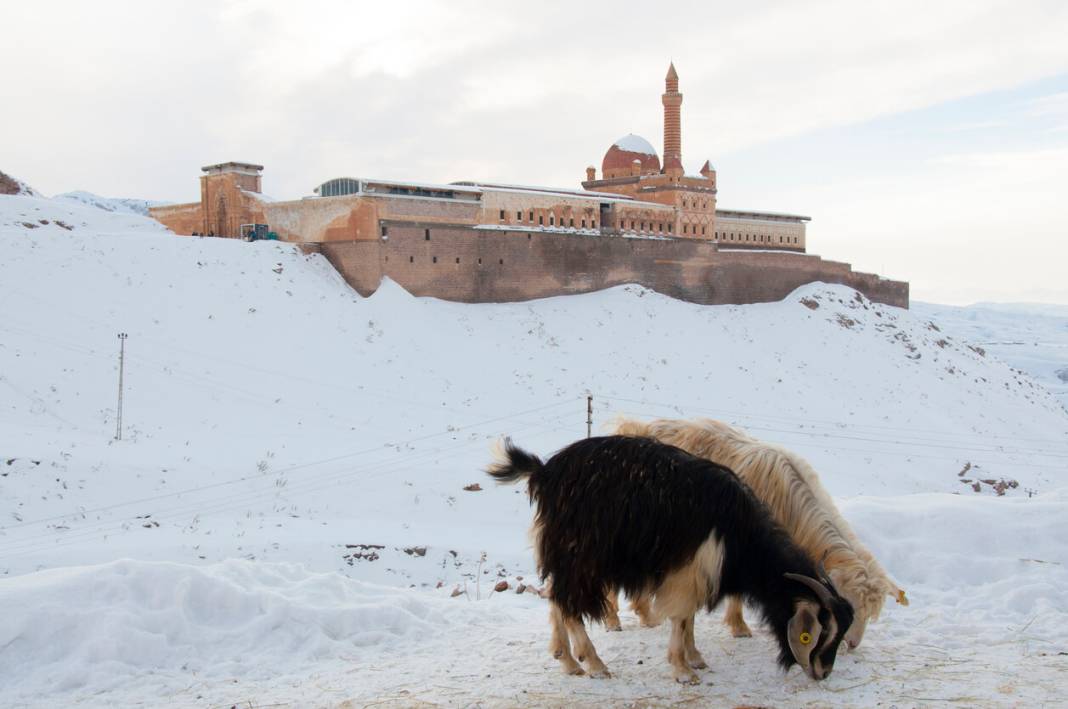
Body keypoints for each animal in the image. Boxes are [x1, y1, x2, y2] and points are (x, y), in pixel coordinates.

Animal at [489, 435, 854, 683]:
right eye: (818, 632)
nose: (823, 672)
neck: (739, 533)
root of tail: (545, 472)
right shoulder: (689, 570)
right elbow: (680, 617)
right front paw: (683, 670)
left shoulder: (693, 573)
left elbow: (688, 617)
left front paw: (694, 657)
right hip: (583, 556)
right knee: (569, 603)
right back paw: (593, 663)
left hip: (563, 553)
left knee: (555, 596)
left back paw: (566, 660)